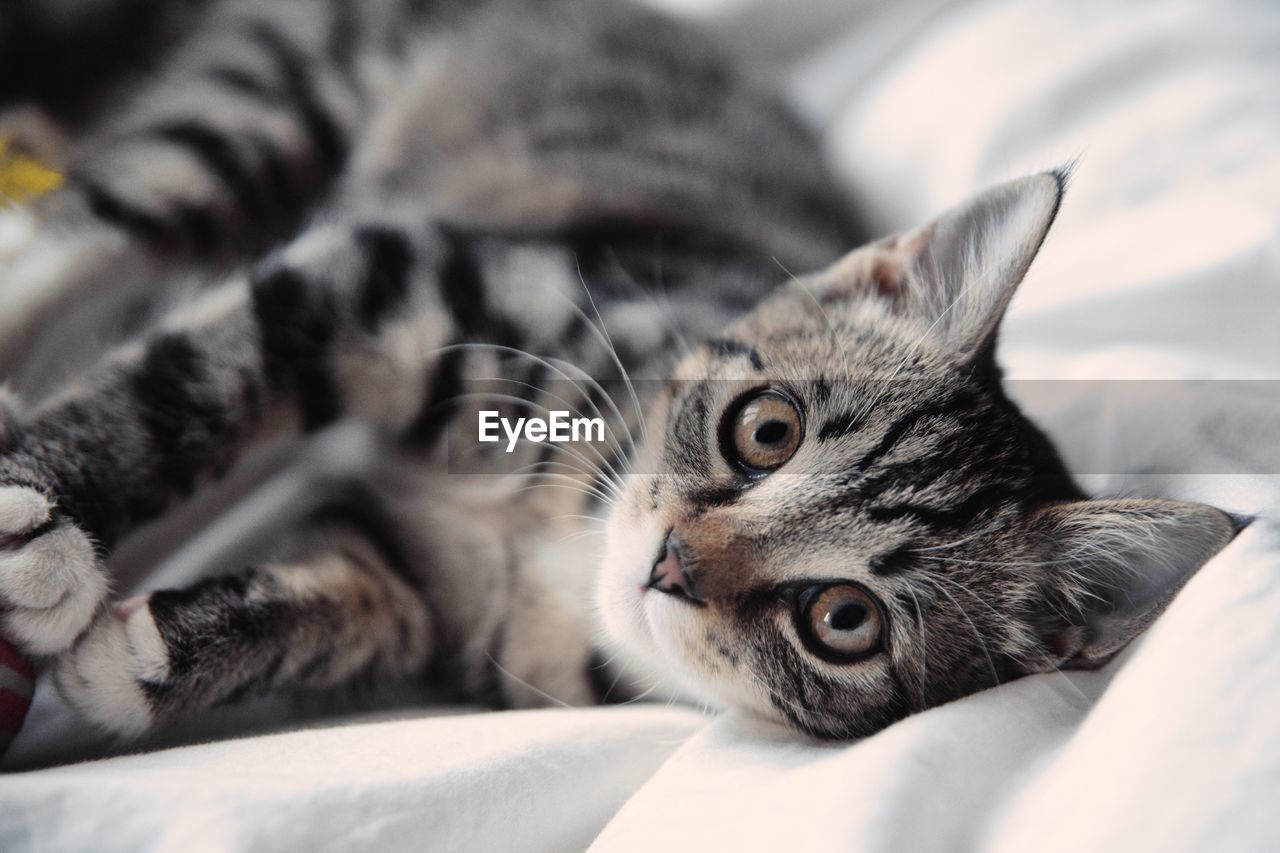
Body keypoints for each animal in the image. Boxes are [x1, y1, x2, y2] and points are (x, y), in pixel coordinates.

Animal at [0, 0, 1239, 737]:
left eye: (841, 619)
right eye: (764, 430)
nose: (670, 563)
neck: (555, 540)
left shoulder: (435, 611)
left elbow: (353, 605)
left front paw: (153, 654)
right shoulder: (406, 276)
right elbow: (191, 380)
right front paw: (44, 514)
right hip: (282, 95)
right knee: (93, 229)